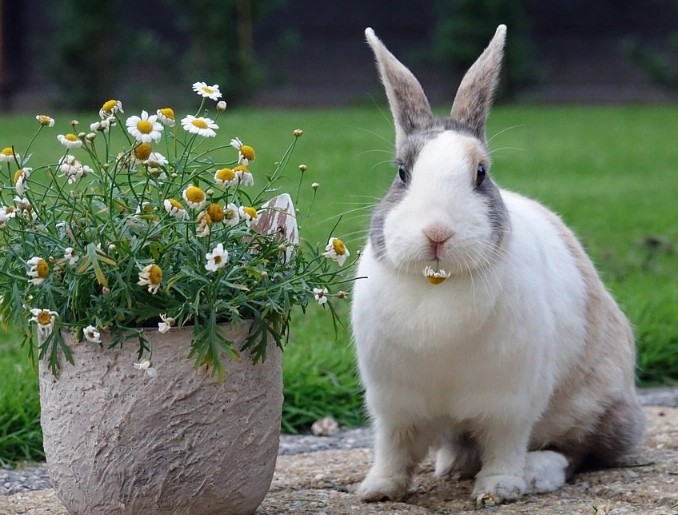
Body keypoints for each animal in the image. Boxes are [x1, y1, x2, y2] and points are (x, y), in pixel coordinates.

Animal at [351, 24, 645, 505]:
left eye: (481, 174)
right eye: (401, 173)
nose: (437, 233)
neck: (437, 283)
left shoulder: (509, 403)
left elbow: (504, 443)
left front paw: (498, 489)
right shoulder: (392, 403)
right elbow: (394, 446)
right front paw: (377, 490)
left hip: (592, 406)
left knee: (580, 451)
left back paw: (536, 472)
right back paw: (451, 465)